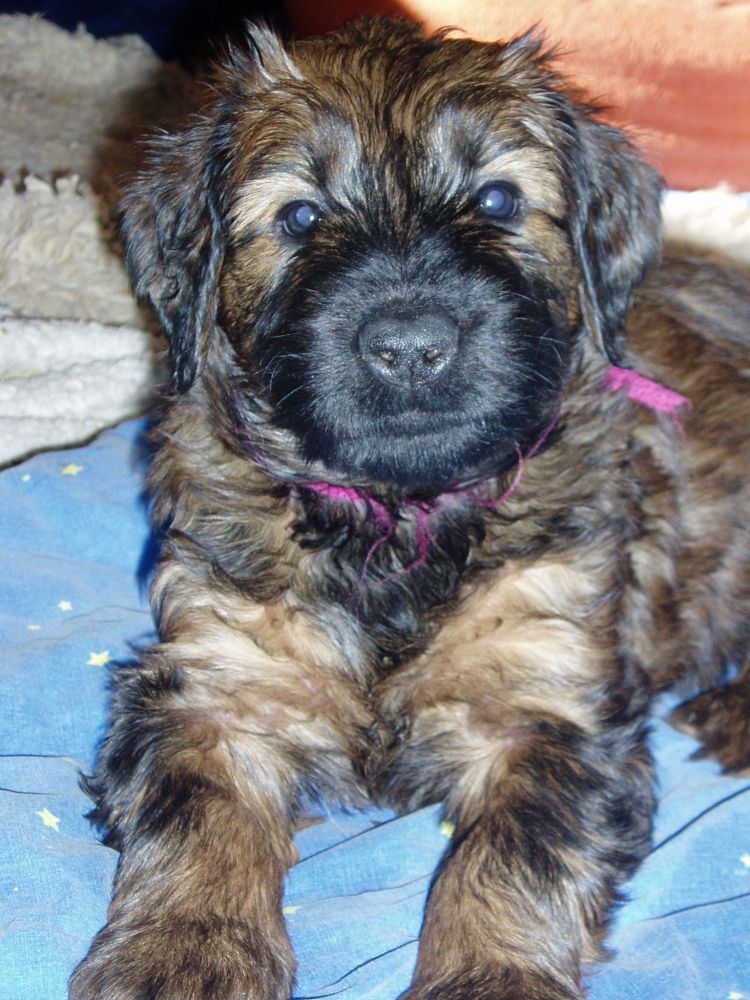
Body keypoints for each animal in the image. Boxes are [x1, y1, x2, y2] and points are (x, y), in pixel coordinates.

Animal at [70, 17, 750, 1000]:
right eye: (301, 216)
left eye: (499, 199)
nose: (411, 344)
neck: (397, 524)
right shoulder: (217, 681)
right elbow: (198, 819)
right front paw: (182, 951)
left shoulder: (546, 703)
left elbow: (510, 858)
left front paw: (493, 977)